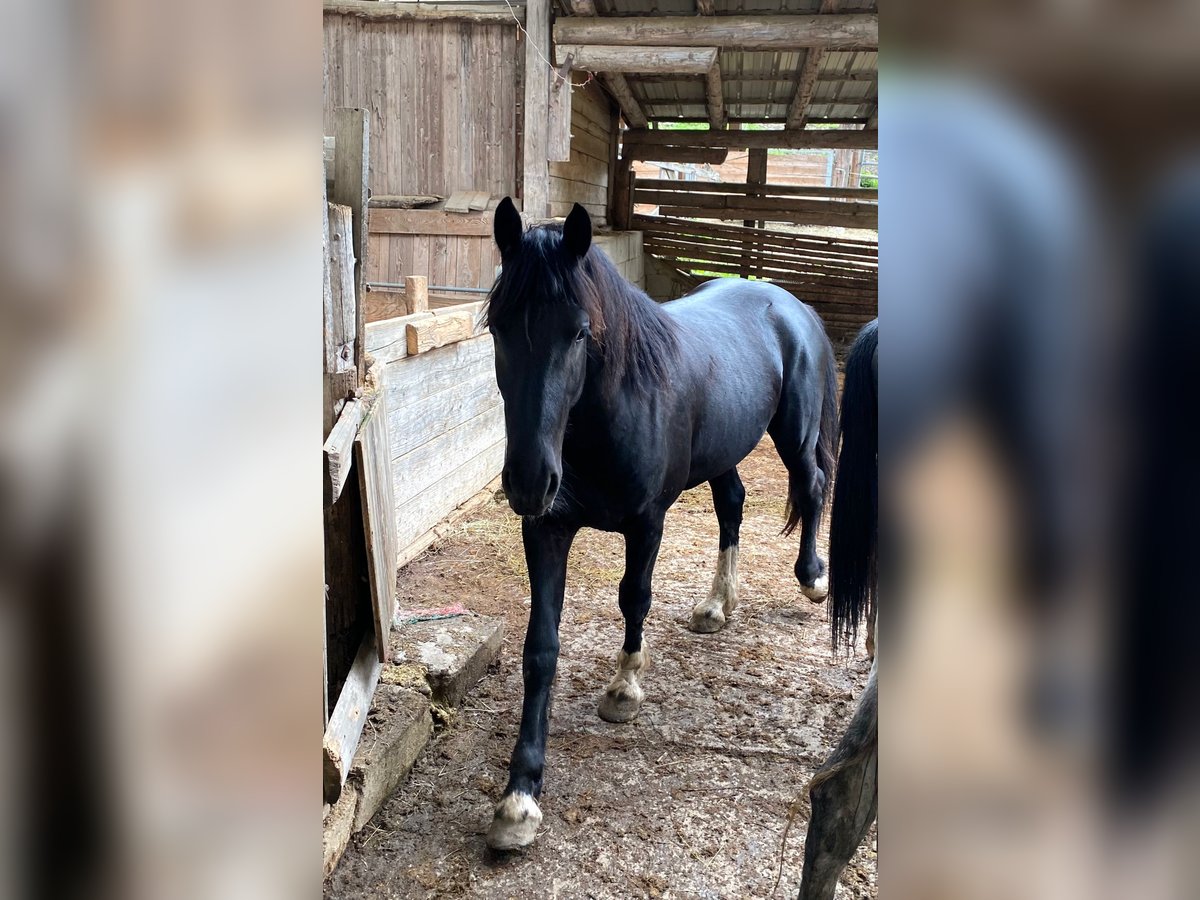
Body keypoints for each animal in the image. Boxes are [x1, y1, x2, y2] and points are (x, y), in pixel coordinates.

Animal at [482, 199, 840, 854]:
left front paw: (625, 688)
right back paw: (716, 605)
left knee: (813, 484)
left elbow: (635, 597)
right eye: (498, 328)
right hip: (724, 451)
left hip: (795, 433)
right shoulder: (546, 530)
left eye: (578, 331)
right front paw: (519, 798)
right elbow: (540, 648)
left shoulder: (647, 522)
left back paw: (812, 578)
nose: (529, 480)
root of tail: (787, 303)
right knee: (733, 504)